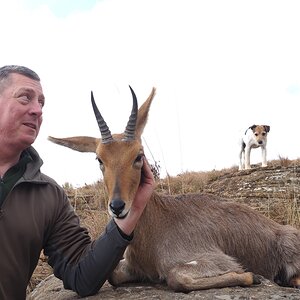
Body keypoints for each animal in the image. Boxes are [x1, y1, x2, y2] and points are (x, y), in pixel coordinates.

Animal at [48, 87, 300, 292]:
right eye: (99, 159)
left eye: (138, 155)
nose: (118, 207)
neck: (154, 229)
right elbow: (113, 275)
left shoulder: (214, 260)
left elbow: (177, 277)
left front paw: (252, 276)